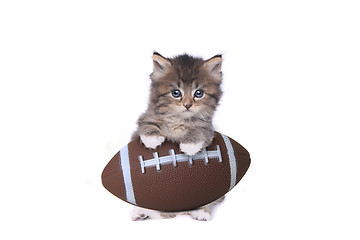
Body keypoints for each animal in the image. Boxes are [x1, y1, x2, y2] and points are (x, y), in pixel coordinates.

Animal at [131, 52, 224, 221]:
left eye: (198, 93)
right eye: (176, 93)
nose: (187, 105)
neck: (179, 120)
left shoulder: (208, 129)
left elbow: (199, 130)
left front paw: (190, 145)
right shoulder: (144, 119)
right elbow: (147, 124)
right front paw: (152, 138)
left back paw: (201, 211)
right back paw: (141, 212)